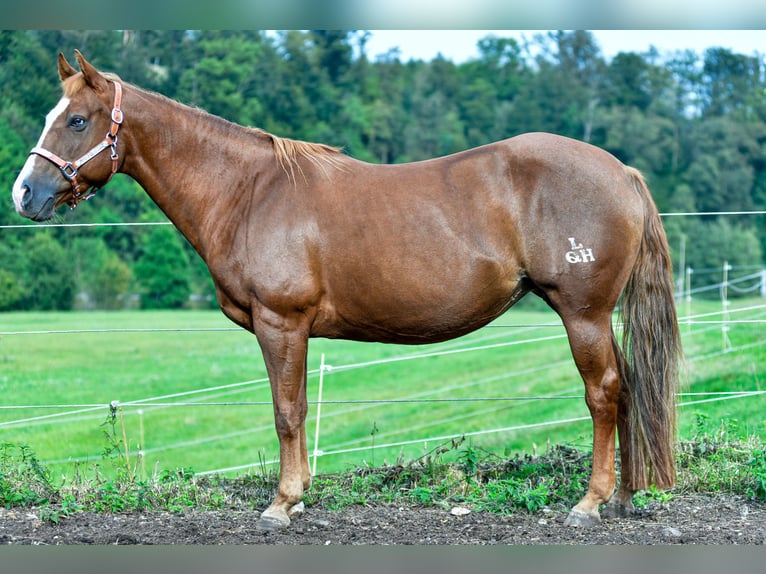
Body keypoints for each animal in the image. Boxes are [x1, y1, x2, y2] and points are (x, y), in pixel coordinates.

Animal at [13, 51, 684, 532]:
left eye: (77, 120)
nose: (25, 194)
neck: (247, 191)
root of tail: (622, 171)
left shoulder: (281, 322)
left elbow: (287, 413)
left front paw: (281, 505)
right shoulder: (292, 329)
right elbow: (298, 411)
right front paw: (297, 497)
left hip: (583, 314)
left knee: (603, 393)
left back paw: (591, 503)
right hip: (597, 318)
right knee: (626, 388)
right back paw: (623, 499)